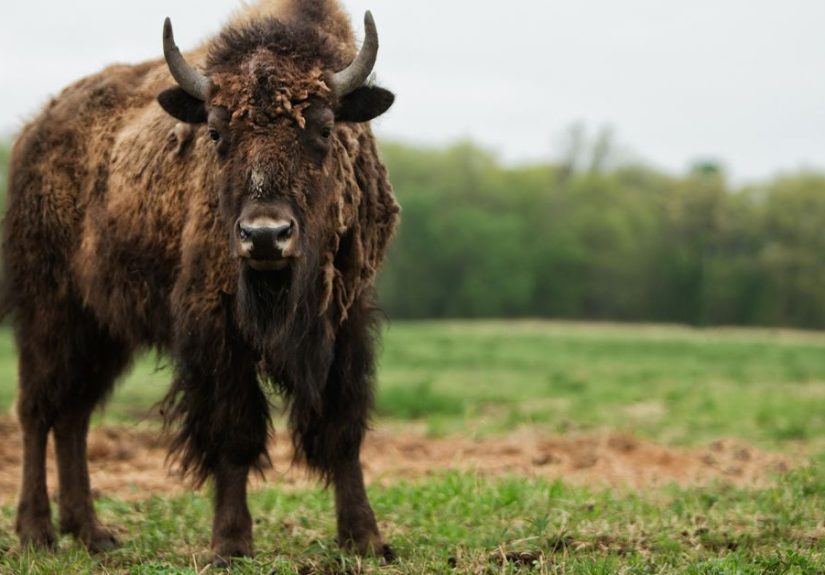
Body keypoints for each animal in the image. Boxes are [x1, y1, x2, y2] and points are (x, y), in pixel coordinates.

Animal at [2, 0, 399, 563]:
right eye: (215, 132)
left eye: (323, 129)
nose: (265, 236)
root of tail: (34, 130)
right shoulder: (215, 328)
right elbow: (233, 433)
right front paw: (230, 543)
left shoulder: (343, 320)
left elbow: (341, 429)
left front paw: (364, 538)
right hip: (49, 309)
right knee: (38, 410)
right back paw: (37, 533)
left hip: (102, 330)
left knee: (73, 416)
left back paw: (93, 533)